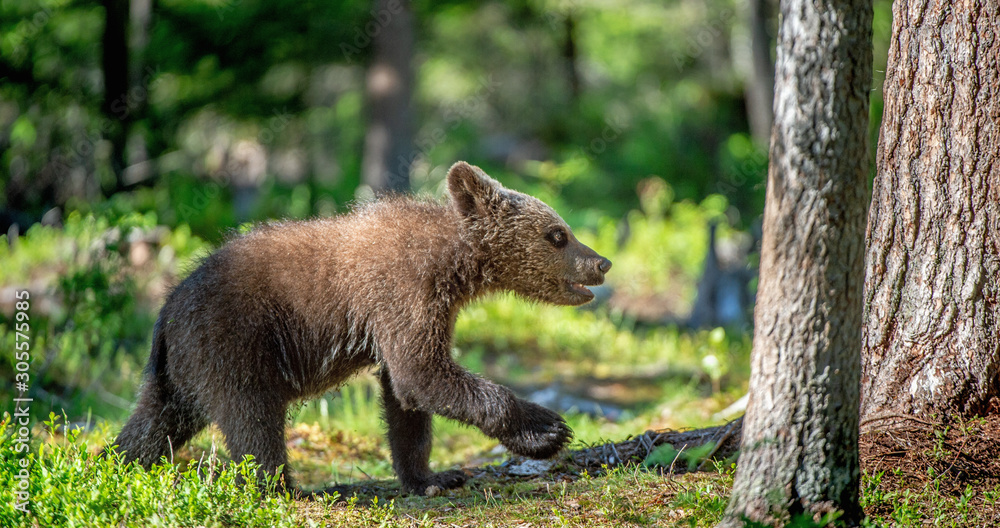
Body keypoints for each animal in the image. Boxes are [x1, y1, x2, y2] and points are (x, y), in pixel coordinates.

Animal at [114, 161, 612, 496]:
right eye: (558, 234)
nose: (601, 262)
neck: (451, 265)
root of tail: (166, 309)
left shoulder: (419, 311)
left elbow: (406, 397)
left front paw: (432, 476)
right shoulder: (401, 290)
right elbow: (422, 374)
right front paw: (546, 430)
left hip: (178, 372)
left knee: (152, 425)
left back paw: (113, 464)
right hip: (235, 340)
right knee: (252, 418)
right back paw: (285, 487)